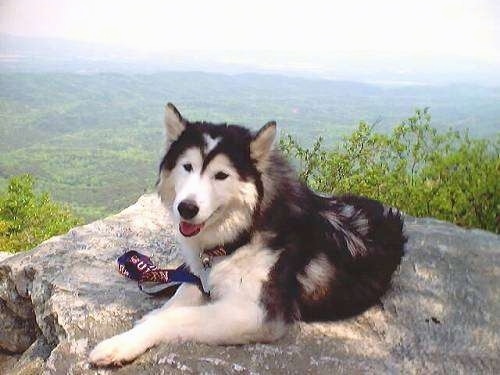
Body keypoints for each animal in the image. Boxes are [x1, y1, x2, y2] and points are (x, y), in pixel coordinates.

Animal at [88, 103, 404, 368]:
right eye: (187, 167)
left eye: (221, 175)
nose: (186, 208)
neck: (242, 235)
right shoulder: (199, 278)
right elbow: (178, 298)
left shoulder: (257, 314)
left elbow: (175, 316)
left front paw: (121, 343)